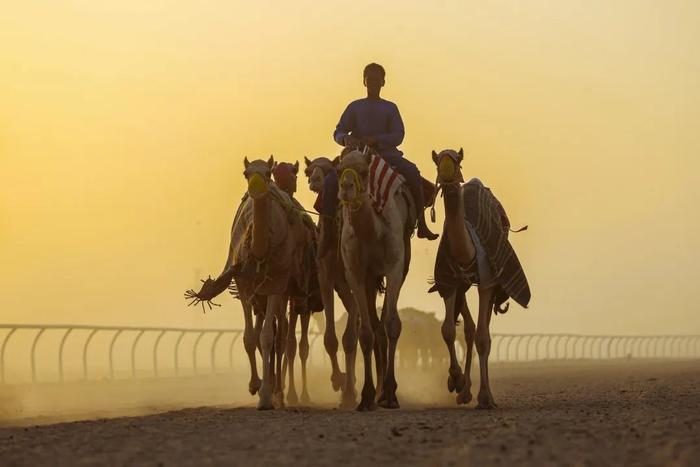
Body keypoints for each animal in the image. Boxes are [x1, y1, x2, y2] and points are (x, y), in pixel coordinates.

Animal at [186, 156, 306, 410]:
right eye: (245, 173)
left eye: (268, 172)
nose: (256, 188)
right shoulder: (243, 285)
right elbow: (250, 338)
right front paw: (254, 385)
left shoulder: (276, 285)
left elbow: (268, 337)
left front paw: (266, 396)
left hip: (284, 289)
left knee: (281, 335)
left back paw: (279, 392)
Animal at [334, 149, 412, 410]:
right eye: (339, 170)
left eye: (363, 172)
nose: (346, 188)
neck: (372, 232)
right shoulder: (355, 273)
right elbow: (365, 332)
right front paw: (366, 396)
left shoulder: (394, 267)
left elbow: (392, 324)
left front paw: (390, 393)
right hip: (369, 280)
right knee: (374, 324)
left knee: (383, 324)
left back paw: (384, 391)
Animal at [426, 149, 532, 410]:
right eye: (437, 160)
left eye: (457, 160)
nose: (446, 172)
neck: (468, 252)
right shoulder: (450, 283)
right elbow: (448, 330)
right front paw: (455, 379)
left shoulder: (487, 282)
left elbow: (484, 338)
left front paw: (485, 398)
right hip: (464, 286)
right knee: (469, 329)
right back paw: (464, 391)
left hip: (491, 284)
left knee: (482, 330)